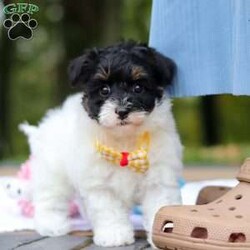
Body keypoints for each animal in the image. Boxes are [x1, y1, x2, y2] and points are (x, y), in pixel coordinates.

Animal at [20, 42, 183, 247]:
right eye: (104, 90)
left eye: (138, 87)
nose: (122, 111)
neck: (124, 142)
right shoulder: (100, 185)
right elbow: (108, 210)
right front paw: (114, 234)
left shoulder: (160, 178)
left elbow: (160, 205)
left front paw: (163, 235)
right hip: (53, 173)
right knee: (49, 198)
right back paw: (51, 224)